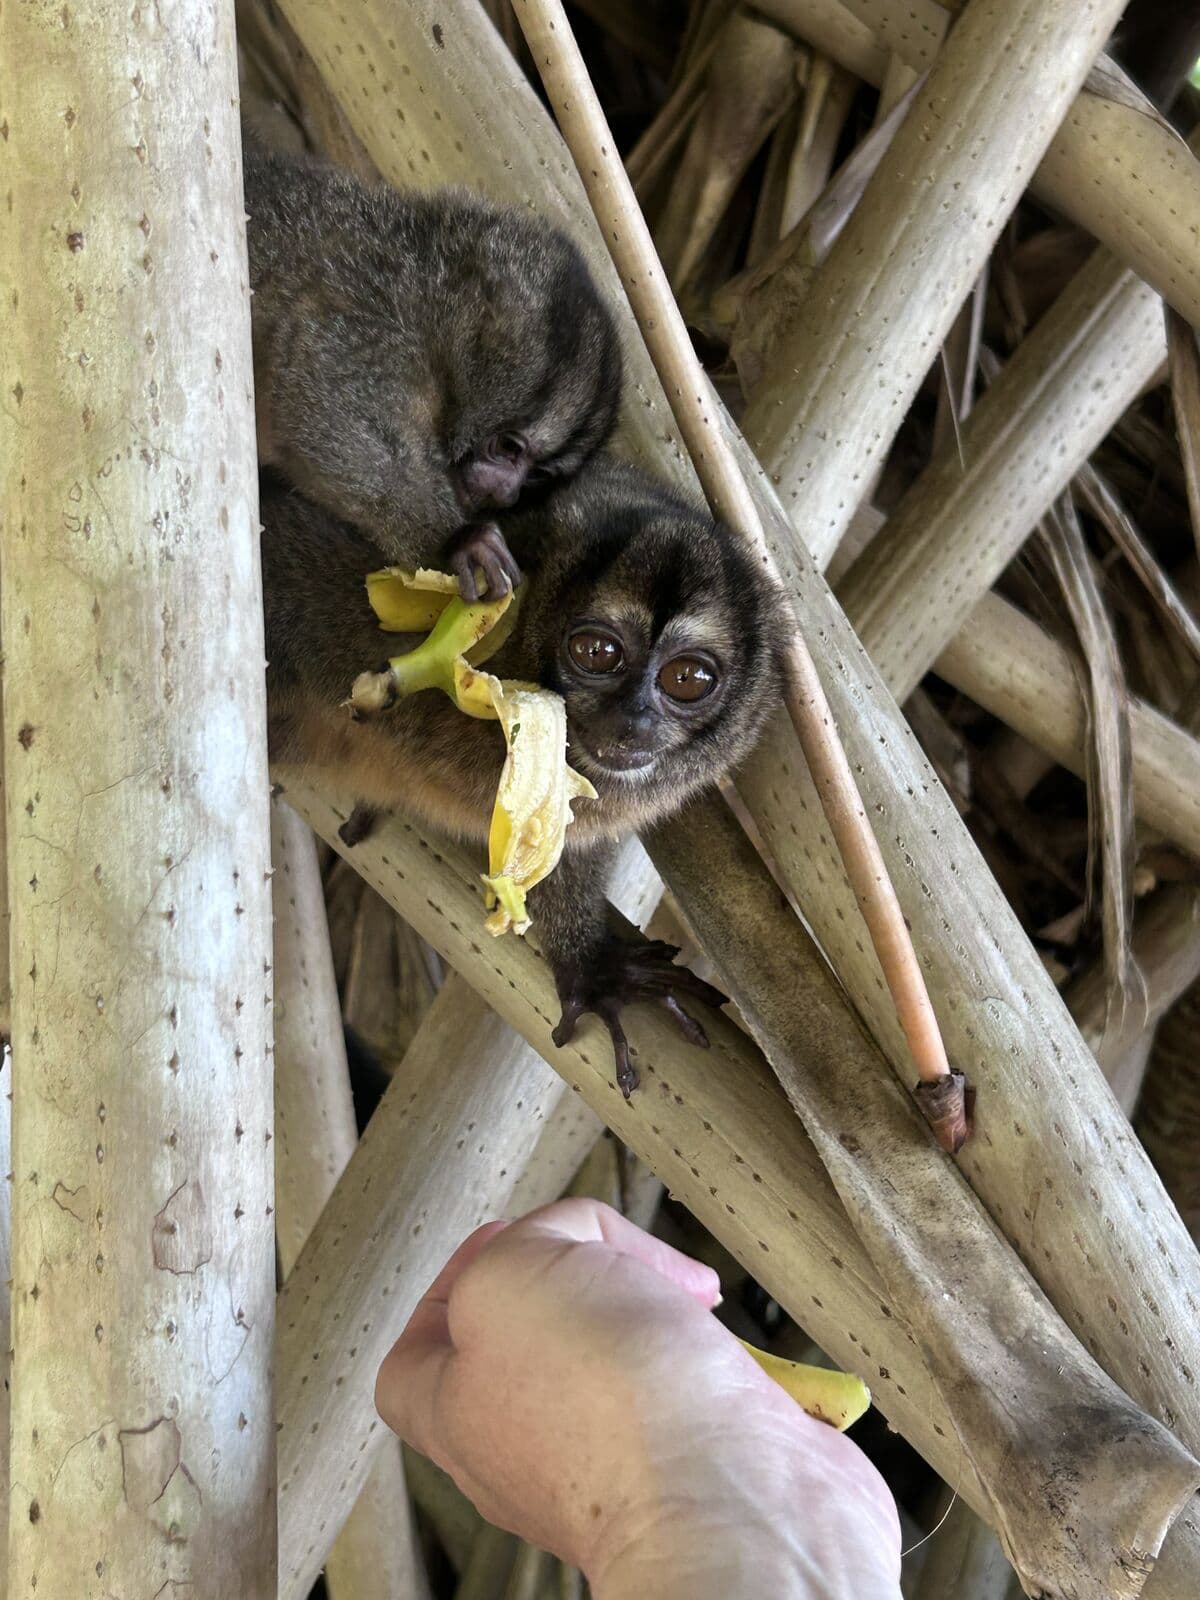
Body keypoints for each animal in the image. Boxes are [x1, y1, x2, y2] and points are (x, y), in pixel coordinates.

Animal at [244, 143, 623, 602]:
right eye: (509, 448)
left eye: (537, 475)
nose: (506, 493)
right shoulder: (358, 334)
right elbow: (316, 411)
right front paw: (461, 540)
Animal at [262, 455, 787, 1093]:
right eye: (596, 652)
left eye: (688, 679)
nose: (633, 721)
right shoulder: (332, 593)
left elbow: (565, 843)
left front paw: (589, 967)